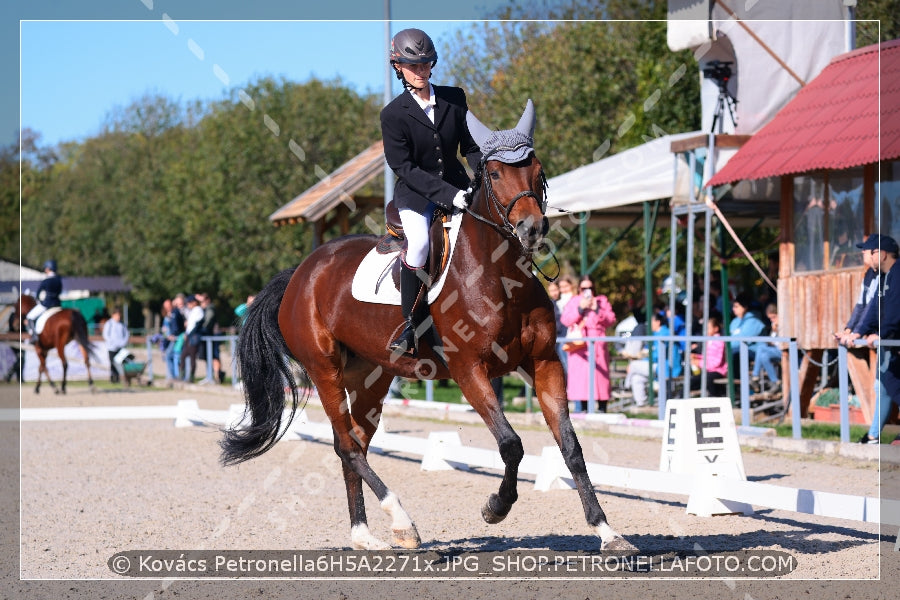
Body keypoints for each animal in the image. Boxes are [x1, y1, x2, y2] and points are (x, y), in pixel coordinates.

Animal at [221, 99, 636, 552]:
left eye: (538, 169)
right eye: (494, 174)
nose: (532, 228)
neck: (501, 275)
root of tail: (300, 273)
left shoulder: (544, 363)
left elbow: (572, 448)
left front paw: (607, 532)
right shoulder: (469, 370)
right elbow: (511, 445)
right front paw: (495, 507)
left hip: (371, 375)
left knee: (353, 443)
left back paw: (365, 535)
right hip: (323, 368)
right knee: (348, 446)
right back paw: (402, 522)